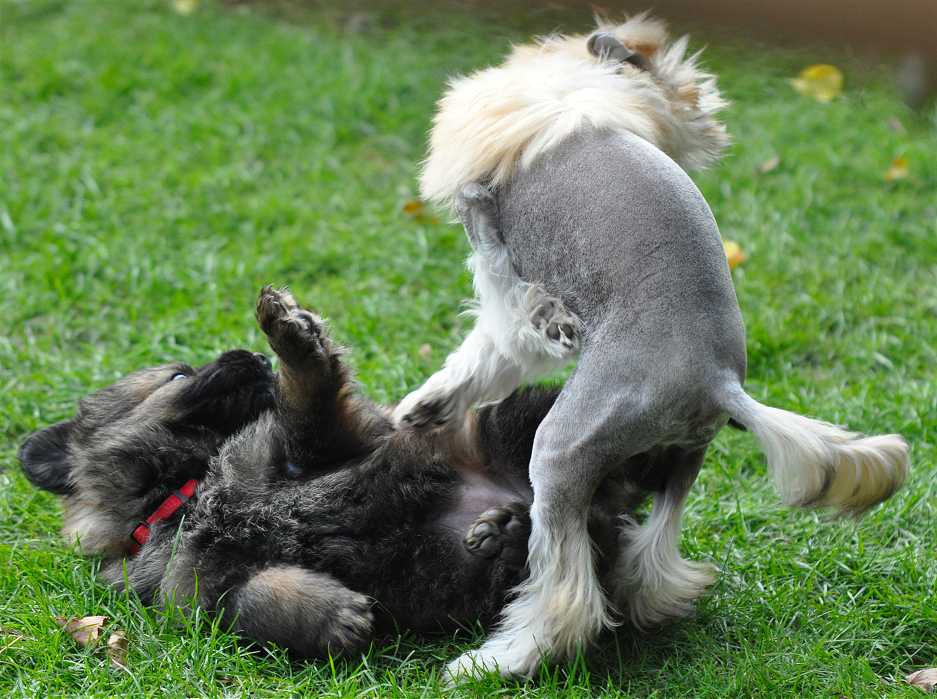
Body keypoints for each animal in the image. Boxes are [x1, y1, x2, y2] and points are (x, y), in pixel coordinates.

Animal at [21, 287, 661, 658]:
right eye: (179, 374)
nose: (256, 360)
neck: (191, 489)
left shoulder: (328, 440)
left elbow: (307, 395)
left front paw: (290, 338)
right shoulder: (202, 596)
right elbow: (253, 601)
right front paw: (330, 617)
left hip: (509, 425)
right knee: (586, 542)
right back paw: (507, 531)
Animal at [392, 15, 911, 678]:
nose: (705, 110)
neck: (584, 86)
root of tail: (718, 381)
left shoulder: (502, 269)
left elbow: (503, 327)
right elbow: (486, 355)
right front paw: (423, 408)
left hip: (561, 448)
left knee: (567, 589)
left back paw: (502, 658)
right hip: (679, 461)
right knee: (654, 555)